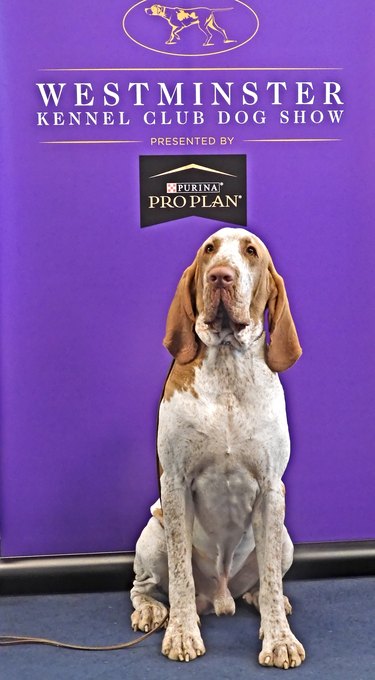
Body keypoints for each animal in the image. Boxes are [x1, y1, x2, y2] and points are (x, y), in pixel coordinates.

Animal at [131, 228, 306, 668]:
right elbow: (180, 576)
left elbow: (273, 581)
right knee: (146, 585)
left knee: (265, 583)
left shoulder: (271, 488)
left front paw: (279, 638)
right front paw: (181, 632)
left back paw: (263, 599)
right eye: (209, 250)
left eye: (250, 251)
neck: (228, 366)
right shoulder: (175, 484)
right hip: (152, 532)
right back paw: (152, 610)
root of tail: (221, 598)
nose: (221, 276)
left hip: (284, 538)